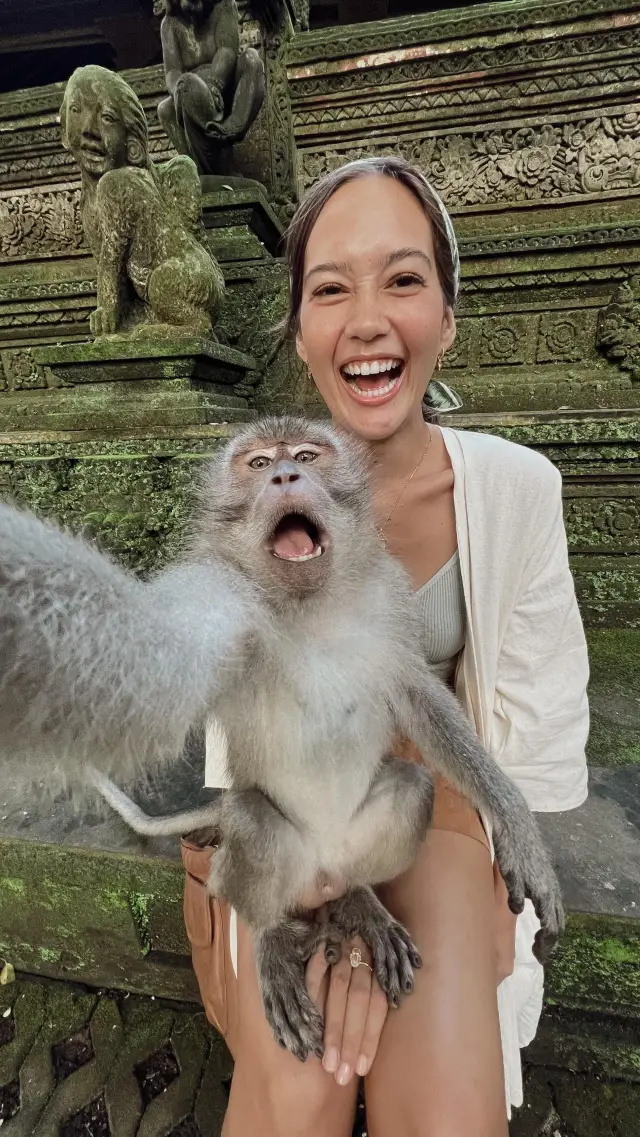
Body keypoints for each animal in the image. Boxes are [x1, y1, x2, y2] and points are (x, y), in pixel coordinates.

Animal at [0, 416, 561, 1055]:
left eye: (307, 456)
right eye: (259, 462)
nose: (285, 475)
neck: (309, 605)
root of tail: (323, 862)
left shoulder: (388, 596)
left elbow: (416, 692)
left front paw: (513, 818)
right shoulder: (221, 593)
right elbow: (151, 657)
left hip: (352, 842)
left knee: (410, 788)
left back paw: (359, 898)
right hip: (279, 856)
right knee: (249, 822)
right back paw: (270, 938)